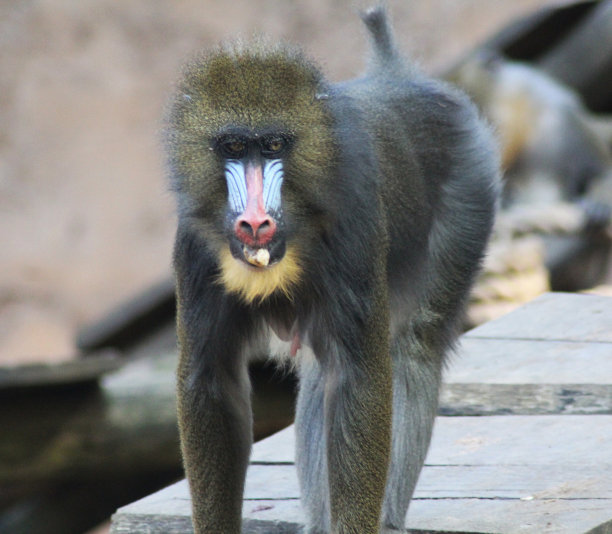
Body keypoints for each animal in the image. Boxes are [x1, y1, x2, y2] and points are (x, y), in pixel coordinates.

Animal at [165, 5, 500, 534]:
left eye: (274, 145)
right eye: (233, 146)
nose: (255, 221)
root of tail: (395, 75)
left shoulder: (354, 216)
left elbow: (360, 378)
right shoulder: (195, 247)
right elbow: (212, 379)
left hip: (467, 196)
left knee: (412, 348)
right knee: (322, 375)